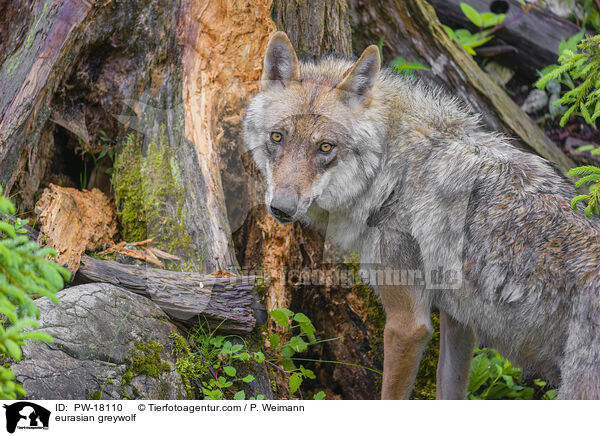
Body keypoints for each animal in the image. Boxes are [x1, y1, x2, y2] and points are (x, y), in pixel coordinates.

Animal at [241, 30, 600, 398]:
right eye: (277, 137)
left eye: (325, 147)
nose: (281, 207)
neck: (392, 173)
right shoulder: (459, 321)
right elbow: (450, 390)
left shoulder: (409, 325)